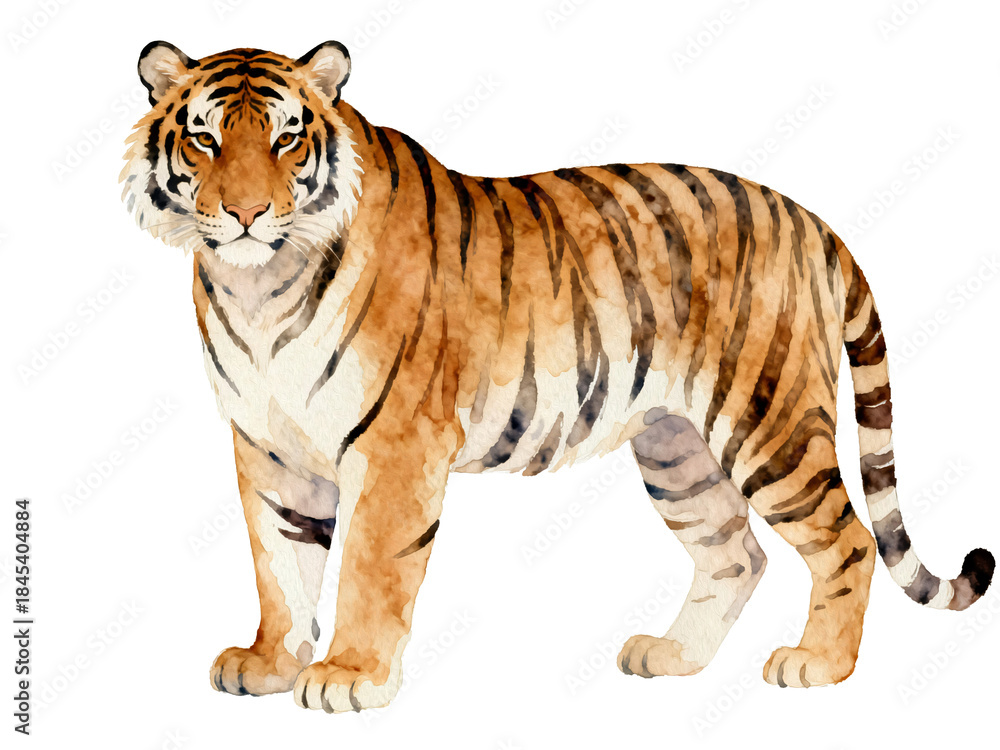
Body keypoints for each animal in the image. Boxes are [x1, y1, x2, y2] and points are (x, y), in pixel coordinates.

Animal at [122, 40, 994, 712]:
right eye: (204, 141)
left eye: (286, 140)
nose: (244, 215)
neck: (257, 288)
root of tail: (812, 220)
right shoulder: (268, 448)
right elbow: (279, 563)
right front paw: (269, 664)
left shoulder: (396, 447)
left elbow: (370, 570)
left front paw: (349, 677)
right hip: (677, 448)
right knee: (736, 553)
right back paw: (671, 656)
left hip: (769, 420)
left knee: (847, 539)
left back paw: (817, 665)